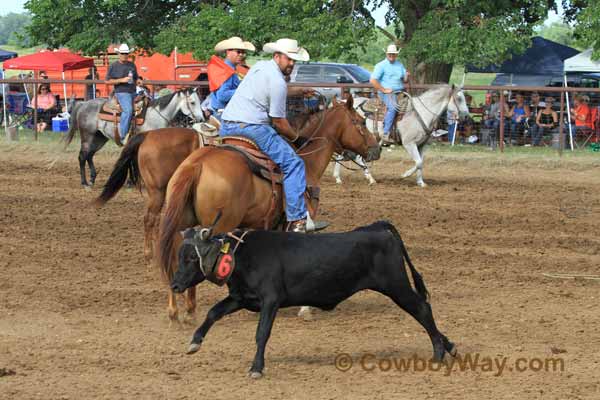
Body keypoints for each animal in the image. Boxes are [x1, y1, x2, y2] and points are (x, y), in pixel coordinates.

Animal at [63, 88, 204, 188]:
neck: (155, 116)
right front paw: (134, 182)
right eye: (192, 102)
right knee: (82, 156)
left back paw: (92, 179)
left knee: (89, 155)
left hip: (99, 138)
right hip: (88, 136)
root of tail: (83, 104)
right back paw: (85, 183)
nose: (201, 119)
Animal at [155, 96, 380, 322]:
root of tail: (197, 164)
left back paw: (181, 310)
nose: (376, 149)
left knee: (177, 255)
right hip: (218, 226)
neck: (307, 160)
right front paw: (305, 308)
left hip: (184, 224)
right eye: (361, 122)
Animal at [172, 220, 454, 380]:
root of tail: (379, 228)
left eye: (191, 257)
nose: (175, 284)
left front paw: (256, 368)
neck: (241, 255)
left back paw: (438, 353)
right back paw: (448, 345)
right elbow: (213, 312)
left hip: (396, 285)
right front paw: (194, 342)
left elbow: (262, 333)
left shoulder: (271, 300)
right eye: (180, 255)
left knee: (422, 308)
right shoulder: (241, 298)